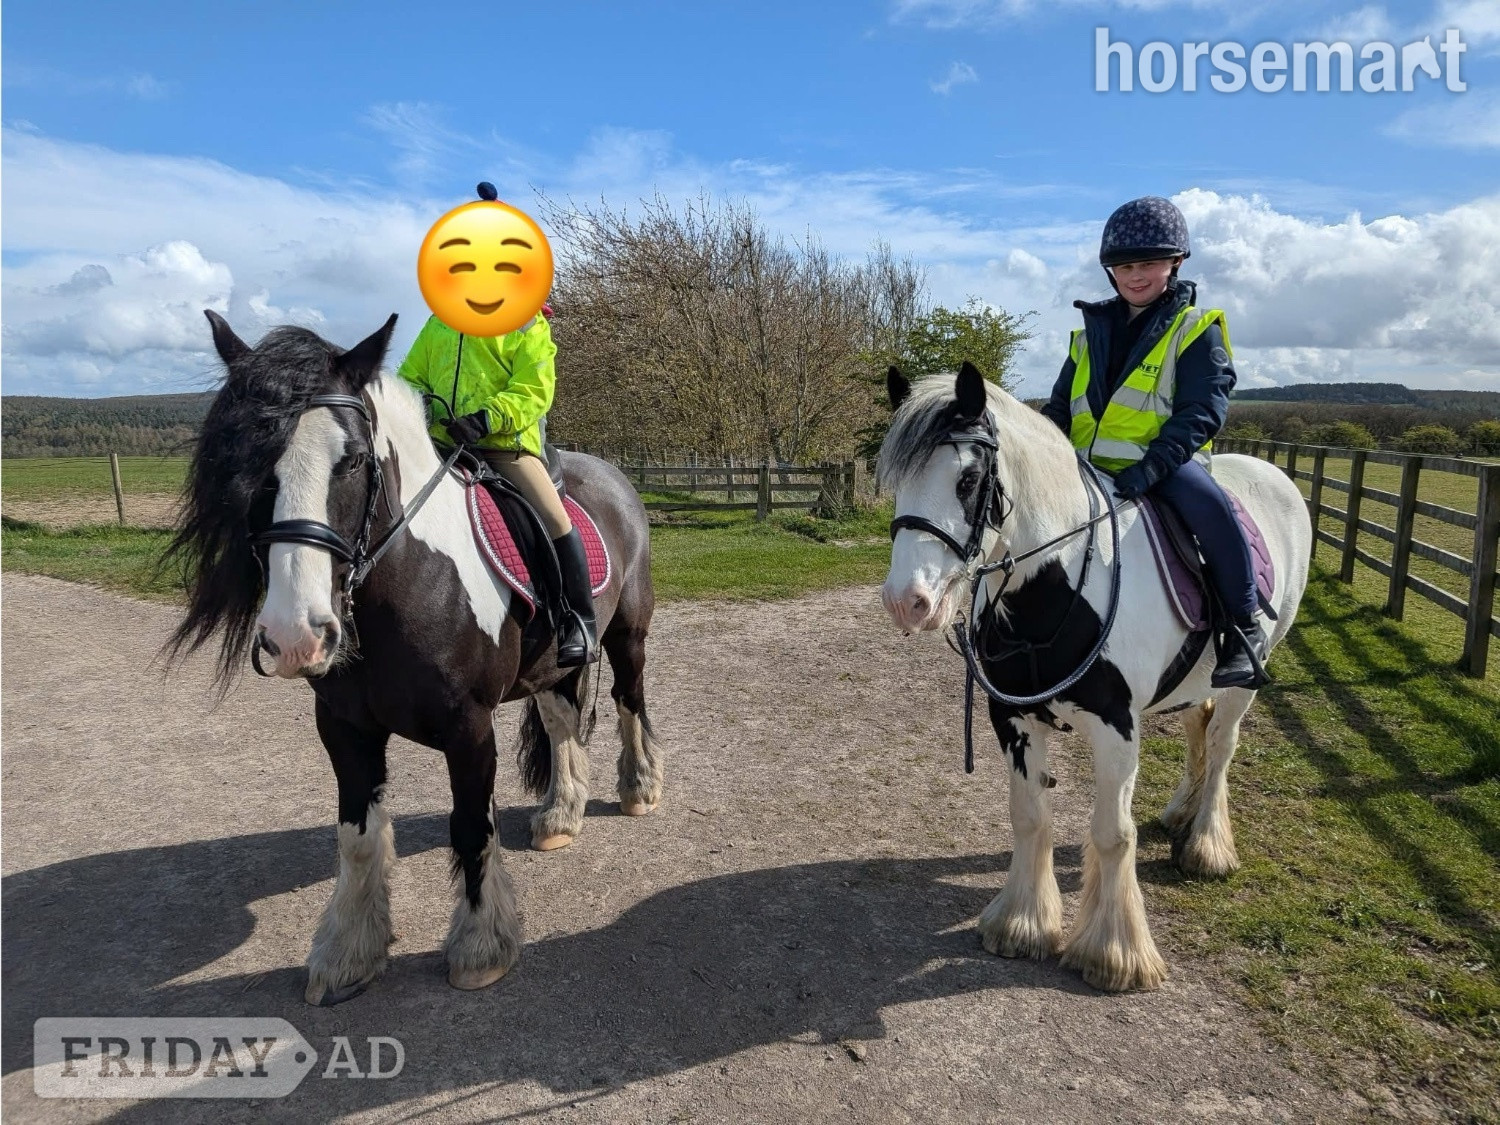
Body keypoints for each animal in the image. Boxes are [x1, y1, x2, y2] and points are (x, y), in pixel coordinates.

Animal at [164, 312, 663, 1003]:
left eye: (350, 461)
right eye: (248, 463)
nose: (295, 635)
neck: (408, 579)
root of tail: (612, 477)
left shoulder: (470, 728)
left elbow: (472, 827)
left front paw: (481, 947)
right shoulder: (344, 729)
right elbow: (358, 838)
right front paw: (349, 954)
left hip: (628, 635)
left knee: (627, 701)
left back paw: (639, 788)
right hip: (552, 665)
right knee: (563, 721)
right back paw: (561, 815)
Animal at [878, 362, 1311, 992]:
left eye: (969, 478)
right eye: (894, 478)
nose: (907, 602)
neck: (1057, 589)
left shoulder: (1116, 728)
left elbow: (1112, 833)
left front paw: (1114, 952)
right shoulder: (1013, 718)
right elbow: (1030, 817)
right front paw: (1022, 924)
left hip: (1244, 679)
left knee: (1222, 744)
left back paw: (1205, 844)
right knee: (1198, 727)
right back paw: (1180, 812)